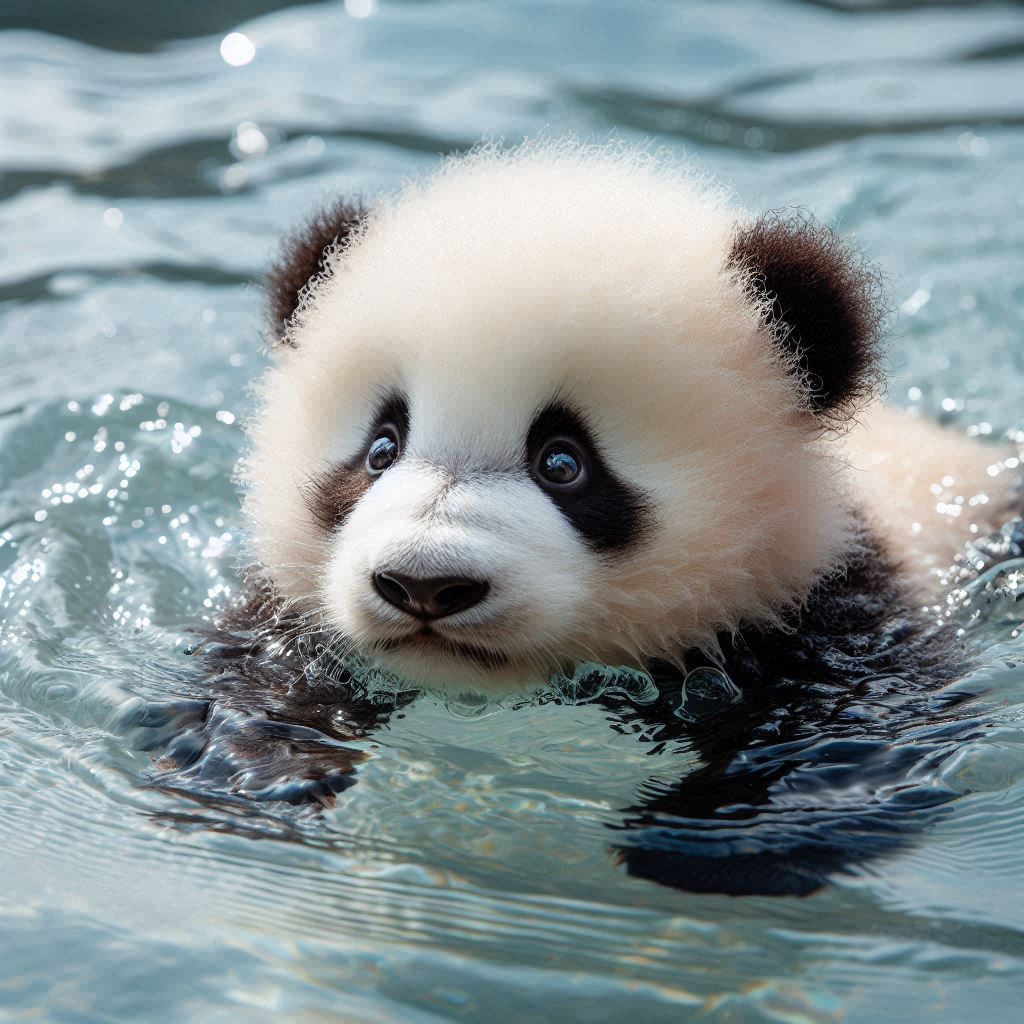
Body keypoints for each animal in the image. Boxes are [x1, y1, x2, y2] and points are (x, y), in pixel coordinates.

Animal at [167, 142, 1015, 897]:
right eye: (381, 448)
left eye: (563, 464)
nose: (425, 585)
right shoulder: (293, 619)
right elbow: (251, 681)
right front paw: (260, 774)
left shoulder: (836, 611)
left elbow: (858, 741)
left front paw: (694, 844)